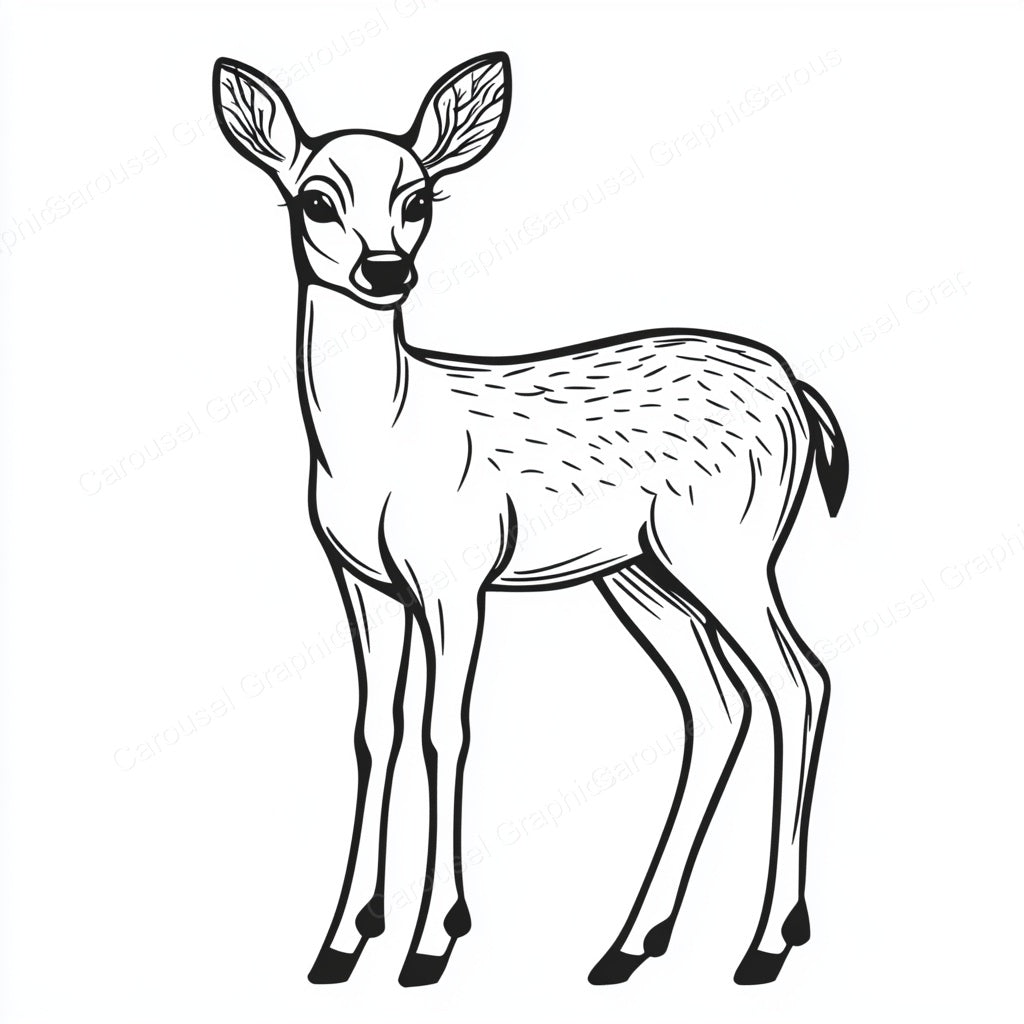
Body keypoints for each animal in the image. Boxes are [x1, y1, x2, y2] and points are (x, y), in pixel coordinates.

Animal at [212, 50, 849, 989]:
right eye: (314, 199)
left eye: (418, 199)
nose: (384, 270)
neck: (380, 444)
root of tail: (799, 395)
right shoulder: (363, 582)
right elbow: (374, 731)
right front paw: (342, 940)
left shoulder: (456, 572)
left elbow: (445, 730)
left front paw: (433, 939)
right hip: (641, 572)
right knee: (716, 704)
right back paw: (631, 943)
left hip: (727, 546)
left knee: (800, 683)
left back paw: (768, 942)